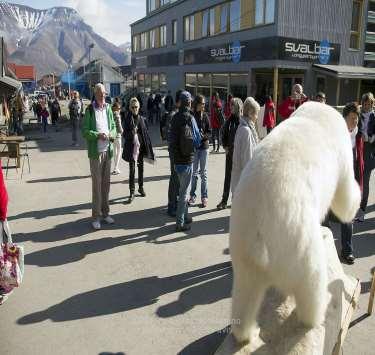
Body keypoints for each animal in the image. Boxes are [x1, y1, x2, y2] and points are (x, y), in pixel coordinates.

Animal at [229, 102, 362, 344]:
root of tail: (261, 229)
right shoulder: (341, 154)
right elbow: (344, 195)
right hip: (297, 238)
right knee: (311, 278)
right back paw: (317, 311)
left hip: (243, 243)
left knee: (246, 290)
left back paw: (248, 332)